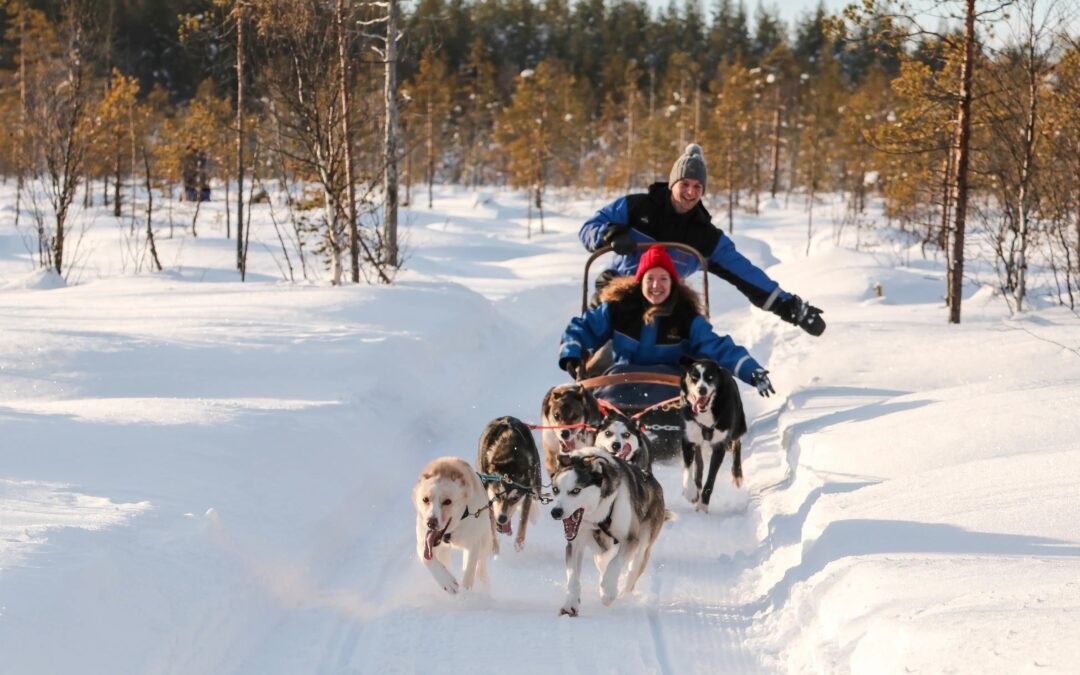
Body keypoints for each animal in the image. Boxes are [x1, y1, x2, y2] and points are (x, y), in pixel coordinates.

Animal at [412, 455, 496, 591]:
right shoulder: (423, 543)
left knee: (481, 563)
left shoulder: (473, 544)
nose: (431, 523)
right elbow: (427, 559)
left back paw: (483, 581)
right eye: (425, 499)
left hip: (485, 538)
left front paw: (466, 594)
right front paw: (447, 582)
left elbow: (469, 573)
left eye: (447, 501)